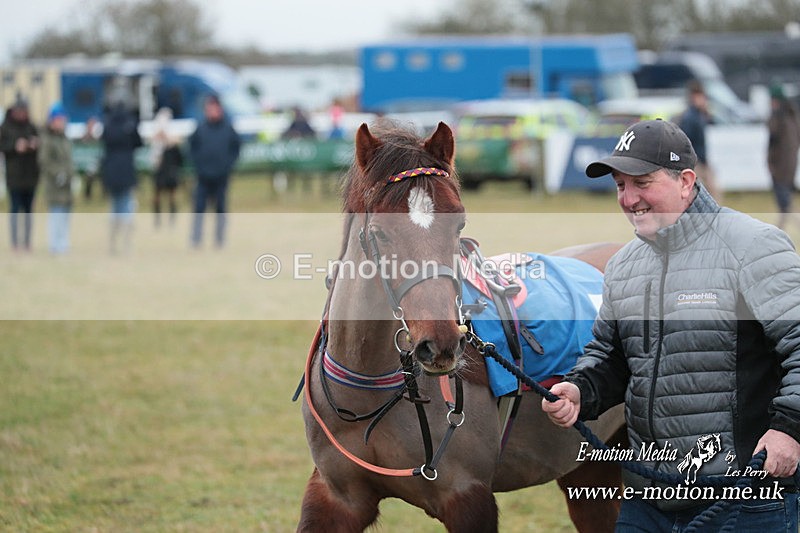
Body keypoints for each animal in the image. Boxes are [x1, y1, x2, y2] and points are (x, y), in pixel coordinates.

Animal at [298, 120, 626, 532]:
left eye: (459, 225)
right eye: (380, 233)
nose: (439, 343)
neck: (369, 389)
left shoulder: (468, 497)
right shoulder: (335, 497)